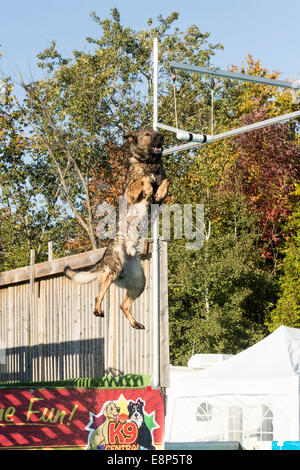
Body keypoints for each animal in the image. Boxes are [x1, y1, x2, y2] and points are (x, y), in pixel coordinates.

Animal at [63, 129, 169, 330]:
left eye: (156, 132)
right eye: (148, 134)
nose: (162, 136)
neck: (148, 163)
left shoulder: (160, 201)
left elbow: (166, 180)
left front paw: (159, 191)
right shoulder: (132, 192)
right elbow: (143, 180)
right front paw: (149, 188)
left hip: (139, 281)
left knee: (123, 305)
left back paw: (135, 323)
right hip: (113, 269)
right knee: (98, 295)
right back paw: (98, 310)